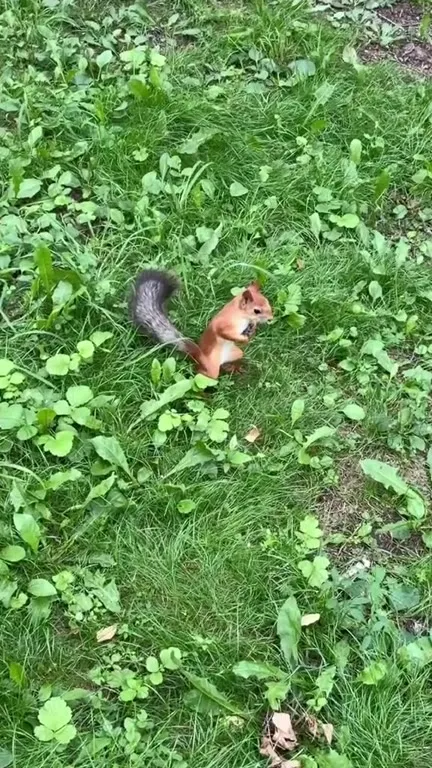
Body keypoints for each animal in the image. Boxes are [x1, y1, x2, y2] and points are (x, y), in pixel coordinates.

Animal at [130, 269, 273, 379]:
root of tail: (199, 356)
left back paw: (233, 367)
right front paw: (243, 338)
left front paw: (252, 329)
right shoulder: (223, 324)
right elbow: (224, 333)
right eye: (257, 310)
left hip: (236, 353)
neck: (241, 316)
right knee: (201, 375)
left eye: (268, 302)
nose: (271, 318)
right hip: (211, 369)